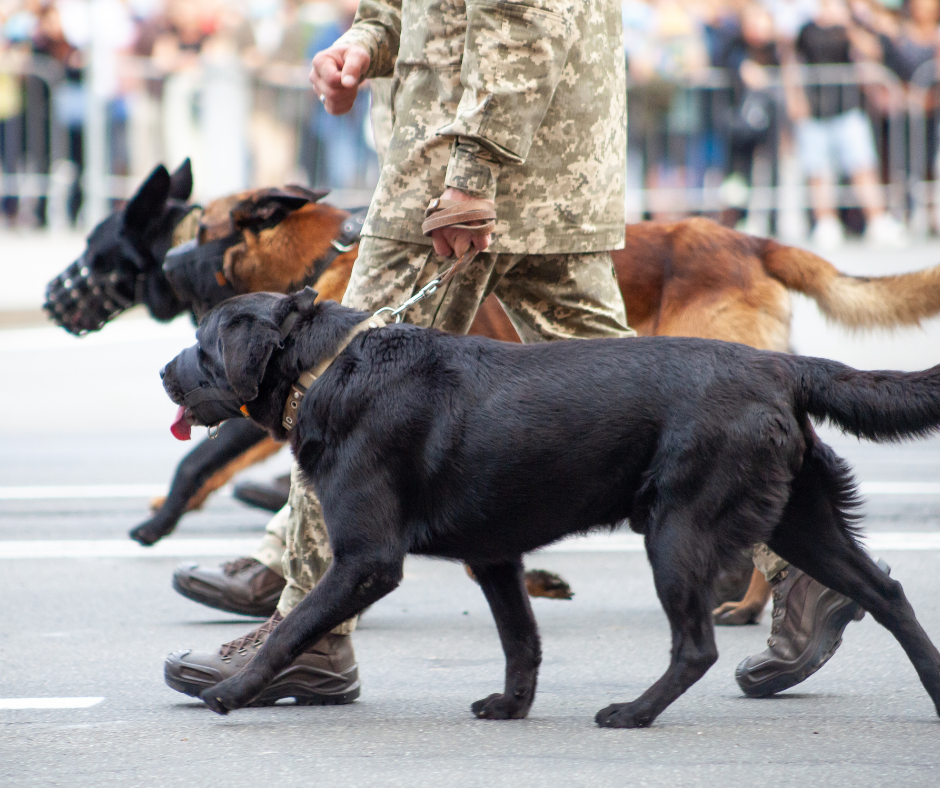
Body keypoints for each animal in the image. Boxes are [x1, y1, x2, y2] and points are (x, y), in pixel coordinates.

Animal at [162, 290, 940, 728]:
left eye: (201, 346)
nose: (163, 370)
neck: (329, 367)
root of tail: (780, 364)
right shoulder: (494, 555)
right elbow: (522, 641)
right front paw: (512, 707)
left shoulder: (366, 560)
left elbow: (293, 628)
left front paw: (233, 690)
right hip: (803, 520)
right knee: (888, 594)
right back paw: (934, 689)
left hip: (679, 530)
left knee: (697, 646)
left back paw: (633, 713)